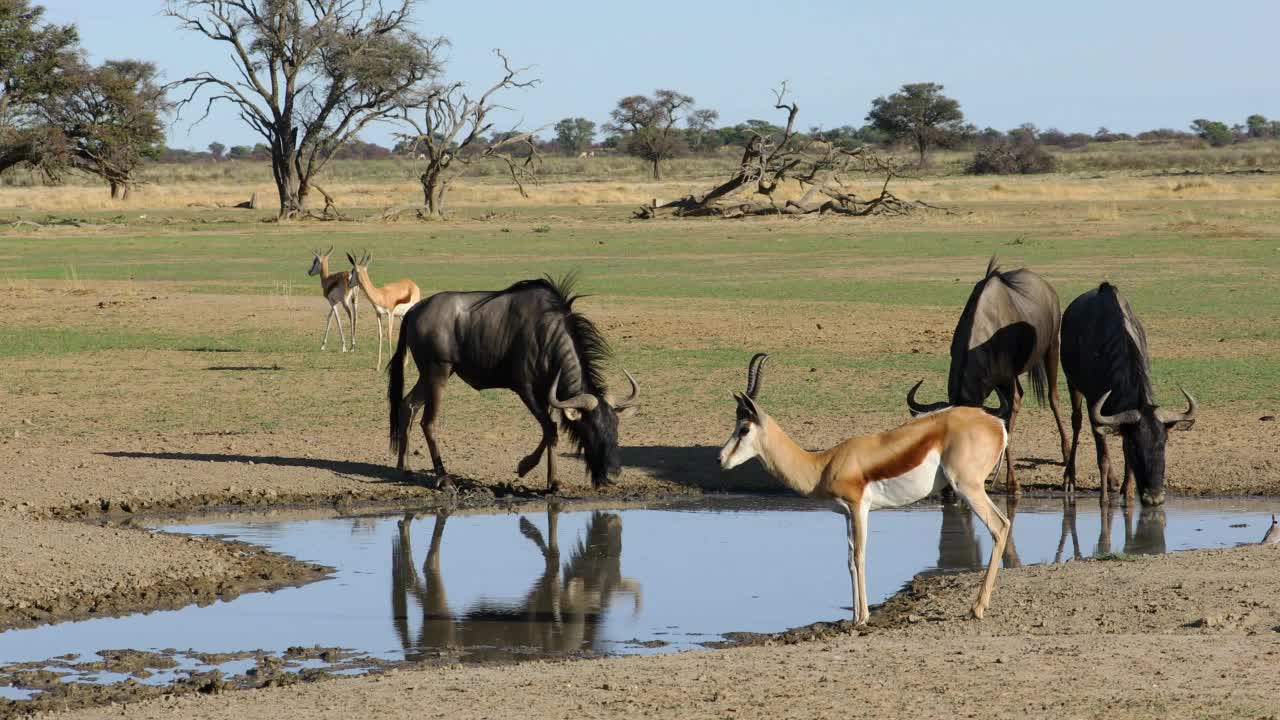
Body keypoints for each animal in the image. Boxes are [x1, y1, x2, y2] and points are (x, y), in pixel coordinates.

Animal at [721, 353, 1008, 622]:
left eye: (744, 429)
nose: (721, 459)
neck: (823, 464)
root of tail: (997, 425)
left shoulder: (859, 507)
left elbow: (859, 556)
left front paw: (862, 618)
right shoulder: (847, 514)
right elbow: (849, 559)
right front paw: (854, 616)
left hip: (967, 487)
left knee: (999, 526)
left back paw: (977, 608)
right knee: (1003, 524)